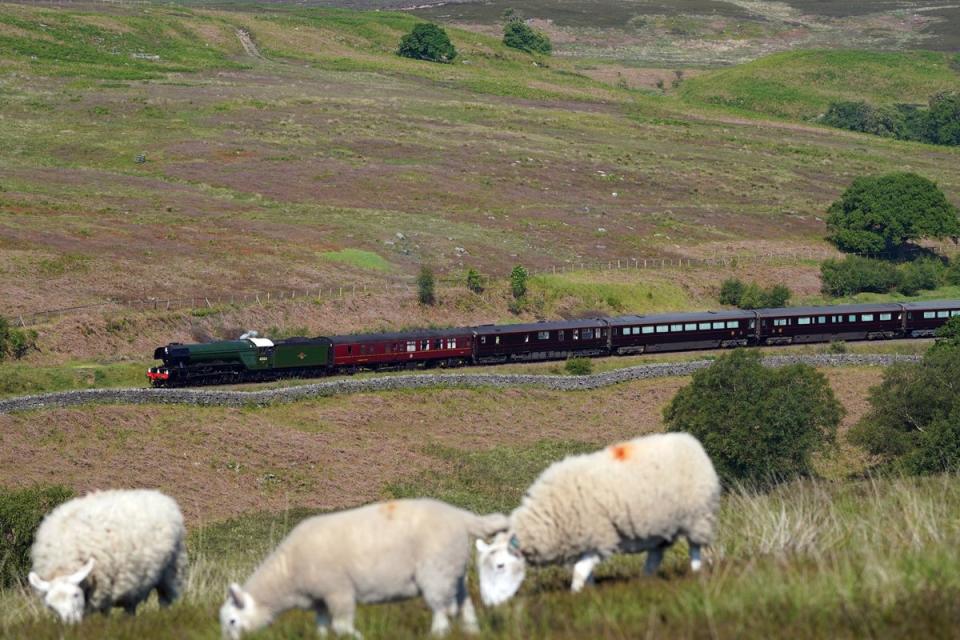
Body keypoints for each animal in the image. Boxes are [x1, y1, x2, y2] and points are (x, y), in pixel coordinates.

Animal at [26, 488, 188, 624]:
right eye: (51, 606)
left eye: (75, 595)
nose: (70, 623)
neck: (63, 564)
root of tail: (159, 496)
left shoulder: (104, 589)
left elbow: (105, 613)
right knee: (131, 606)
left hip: (171, 571)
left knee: (165, 600)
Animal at [219, 500, 510, 640]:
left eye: (232, 621)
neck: (287, 576)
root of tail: (462, 517)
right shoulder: (321, 599)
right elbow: (323, 628)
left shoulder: (338, 590)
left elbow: (342, 626)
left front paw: (359, 637)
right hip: (452, 569)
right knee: (464, 604)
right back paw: (473, 632)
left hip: (435, 572)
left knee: (442, 611)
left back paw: (436, 635)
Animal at [476, 430, 716, 604]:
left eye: (500, 566)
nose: (489, 605)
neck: (549, 515)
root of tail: (688, 440)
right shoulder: (583, 542)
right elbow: (586, 572)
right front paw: (589, 593)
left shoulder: (600, 537)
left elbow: (580, 571)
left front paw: (575, 596)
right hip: (659, 526)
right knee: (655, 555)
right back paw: (645, 581)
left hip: (698, 516)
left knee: (695, 548)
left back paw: (695, 574)